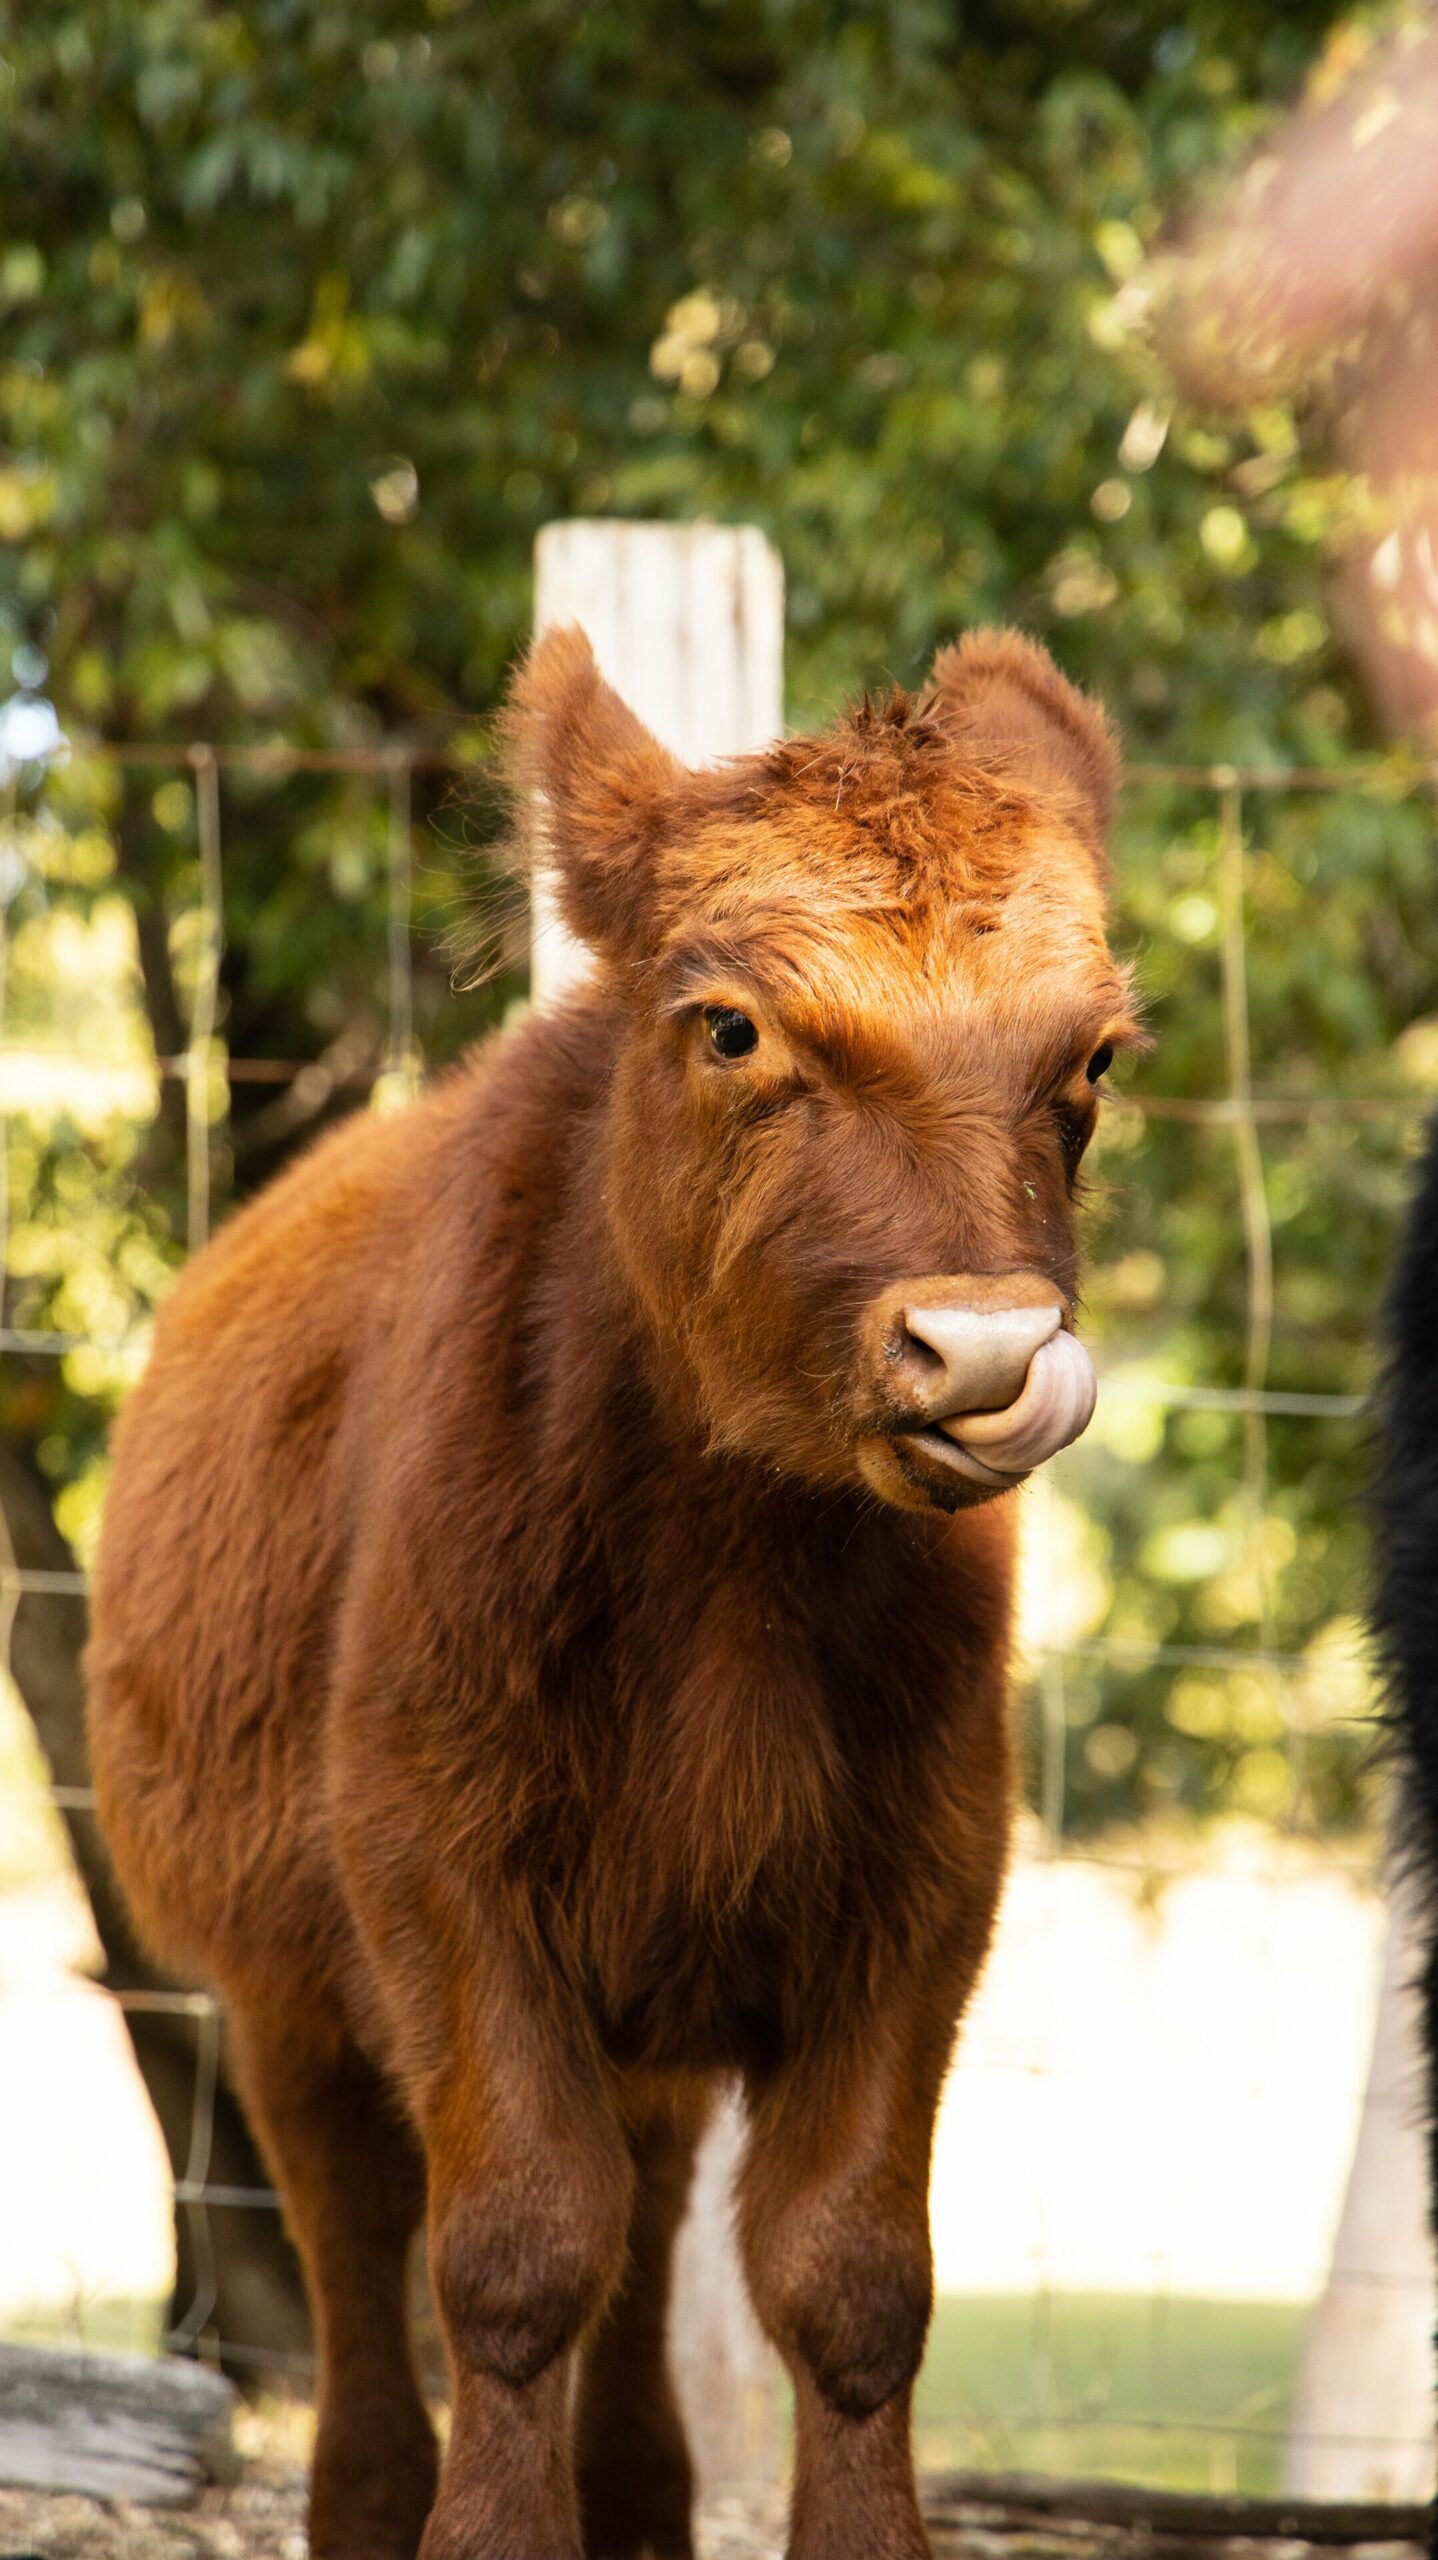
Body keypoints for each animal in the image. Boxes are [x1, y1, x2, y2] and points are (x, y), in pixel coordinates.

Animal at [89, 624, 1136, 2560]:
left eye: (1090, 1056)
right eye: (730, 1026)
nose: (982, 1351)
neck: (731, 1569)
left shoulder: (922, 1879)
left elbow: (848, 2280)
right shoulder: (431, 1861)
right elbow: (510, 2259)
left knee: (644, 2226)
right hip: (272, 1980)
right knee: (356, 2248)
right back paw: (368, 2503)